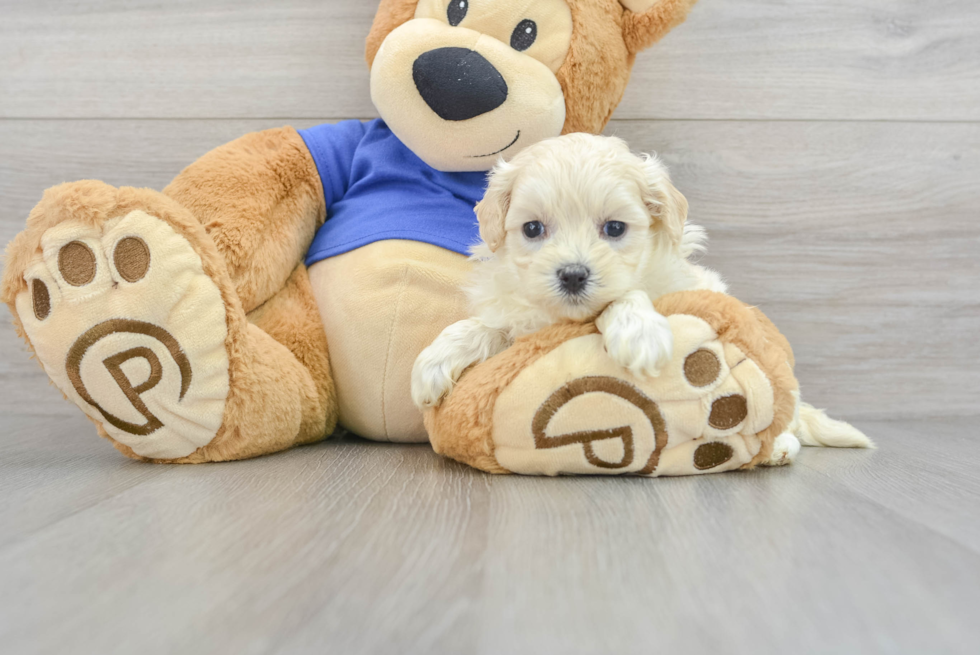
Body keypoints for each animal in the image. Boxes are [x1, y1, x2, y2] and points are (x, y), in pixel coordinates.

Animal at [410, 133, 868, 462]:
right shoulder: (519, 317)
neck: (570, 320)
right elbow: (482, 325)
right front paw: (433, 363)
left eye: (614, 228)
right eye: (533, 229)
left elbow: (627, 296)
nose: (573, 275)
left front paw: (639, 334)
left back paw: (779, 448)